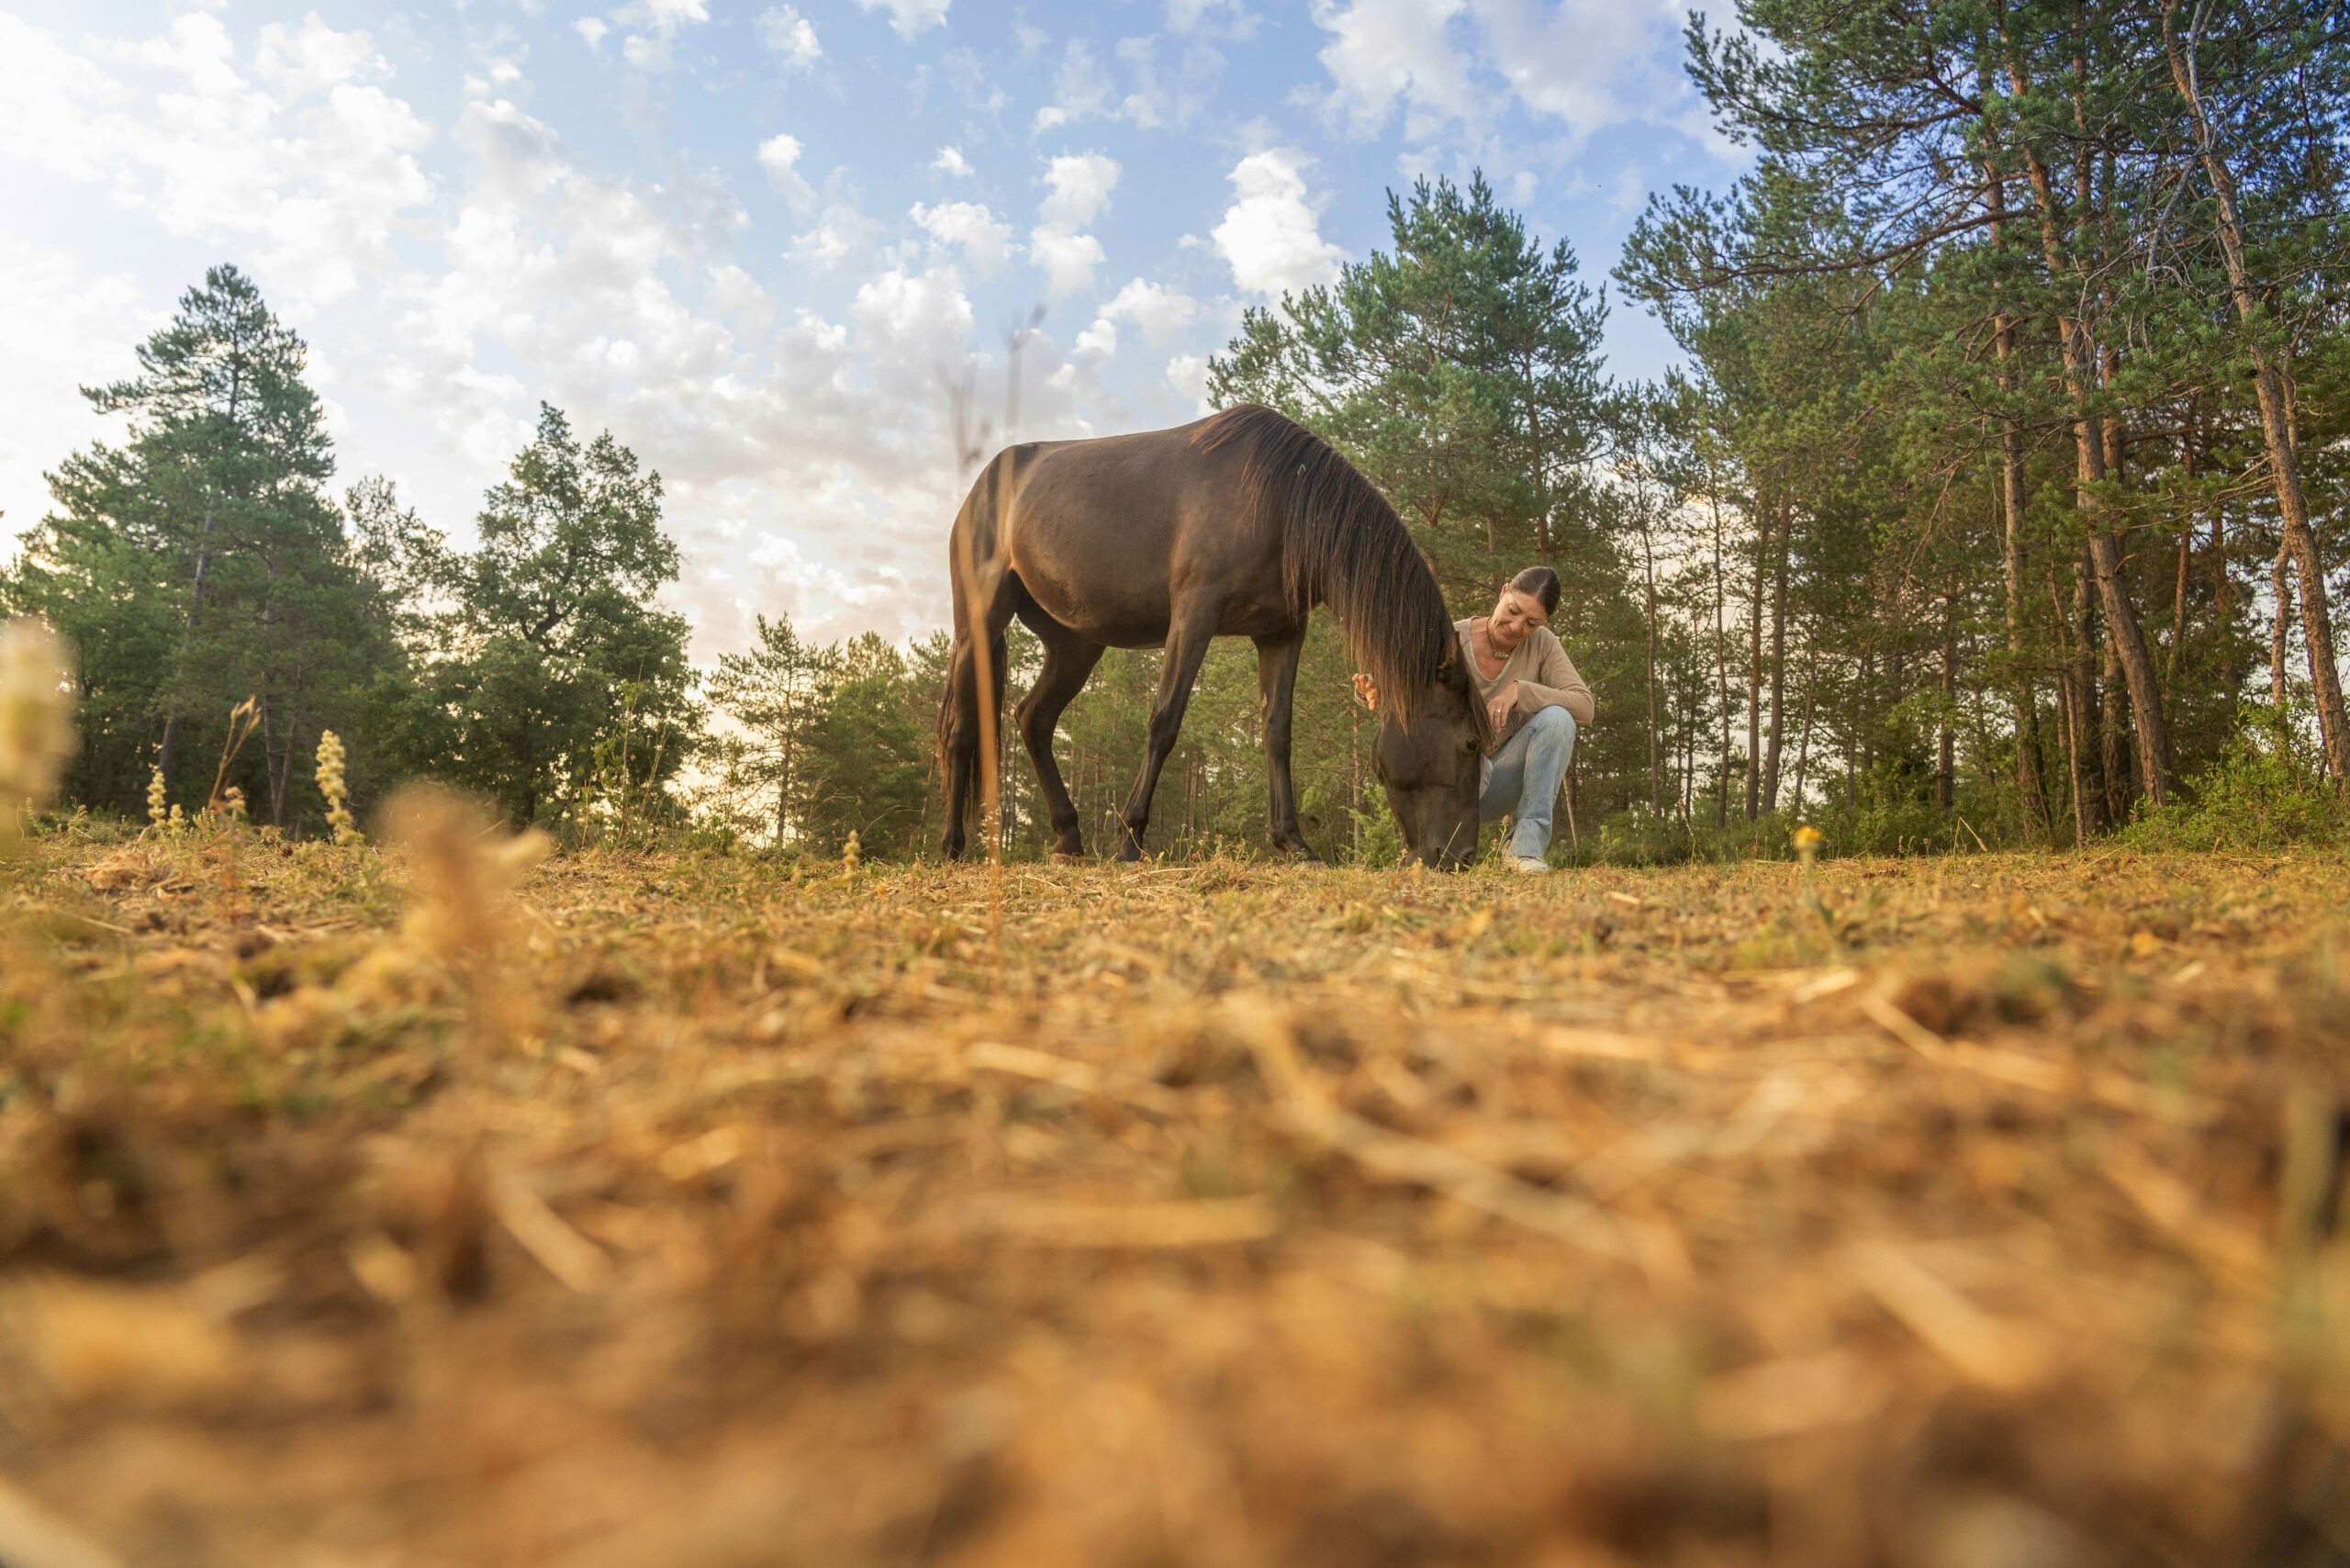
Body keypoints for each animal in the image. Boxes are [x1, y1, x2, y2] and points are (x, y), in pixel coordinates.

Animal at [940, 401, 1475, 869]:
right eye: (1471, 743)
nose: (1463, 856)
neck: (1279, 499)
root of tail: (985, 484)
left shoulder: (1281, 634)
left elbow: (1277, 733)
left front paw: (1294, 843)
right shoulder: (1194, 616)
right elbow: (1164, 722)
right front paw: (1130, 838)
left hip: (1075, 645)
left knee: (1034, 719)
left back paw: (1068, 838)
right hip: (979, 625)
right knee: (963, 731)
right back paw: (953, 844)